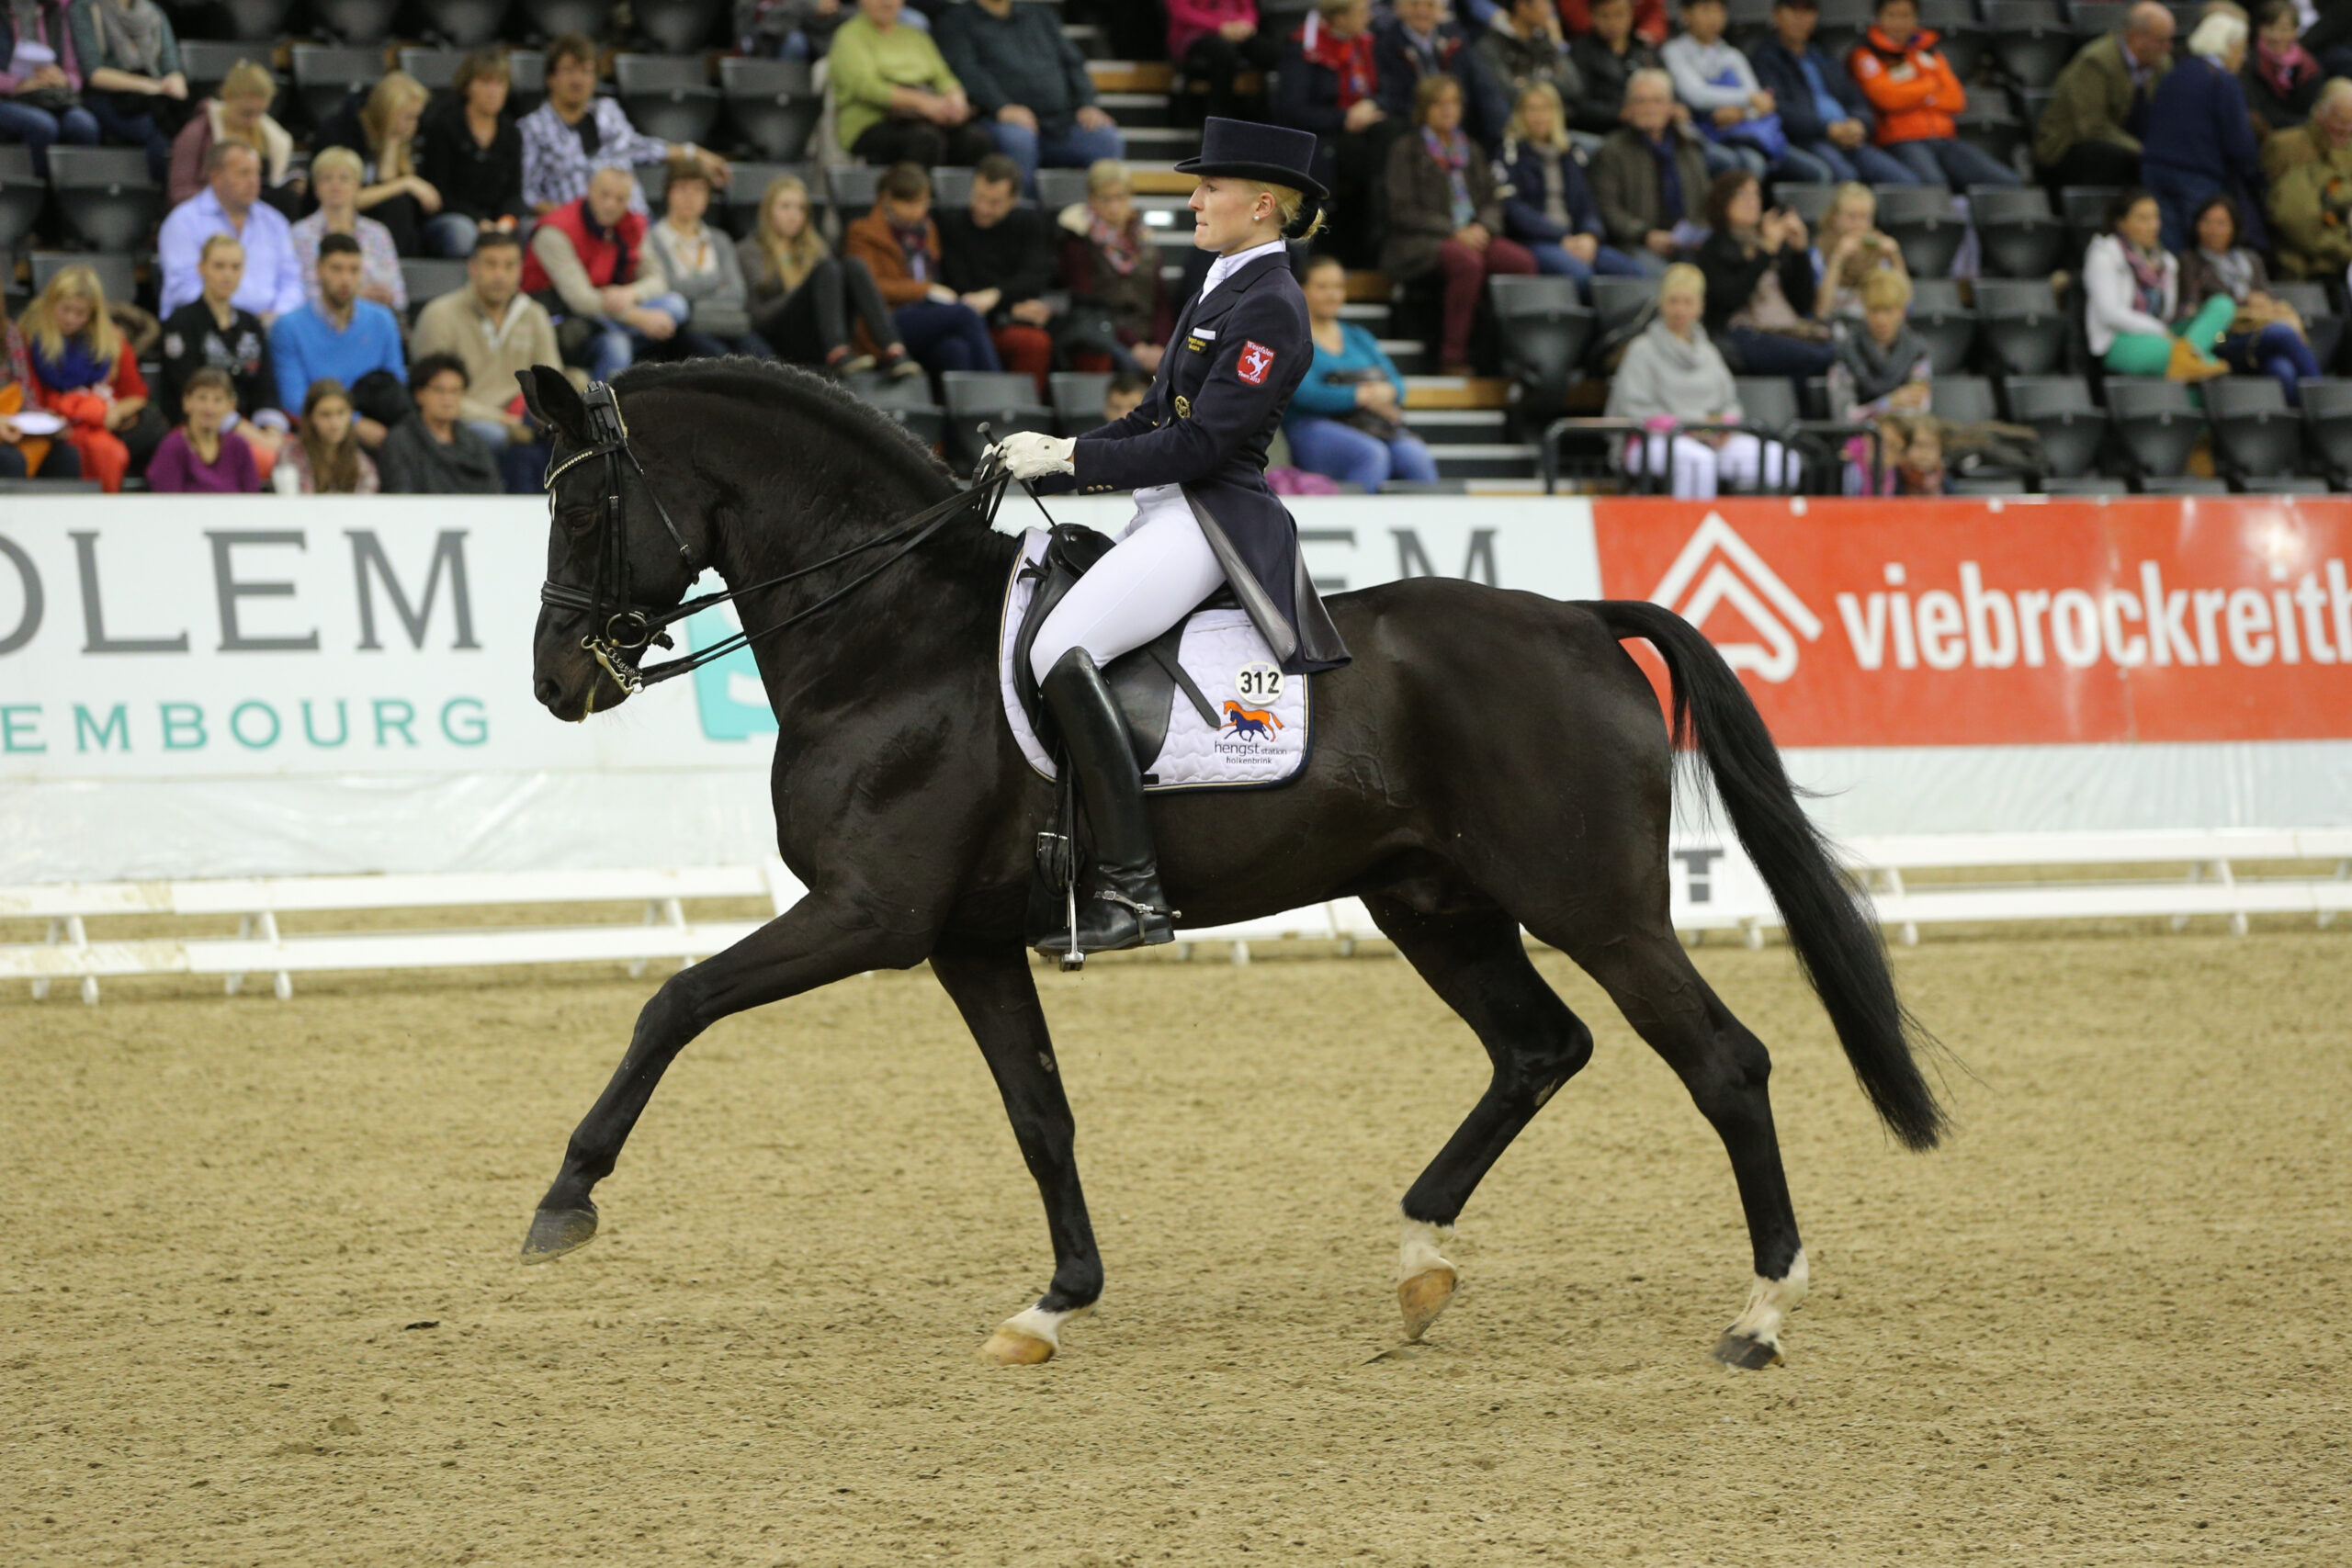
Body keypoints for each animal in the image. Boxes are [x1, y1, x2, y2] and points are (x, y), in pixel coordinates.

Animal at [515, 359, 1946, 1370]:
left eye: (582, 507)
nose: (553, 682)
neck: (892, 639)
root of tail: (1577, 621)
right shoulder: (963, 939)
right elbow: (1040, 1114)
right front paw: (1054, 1303)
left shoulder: (870, 913)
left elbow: (675, 1001)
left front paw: (565, 1199)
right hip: (1432, 901)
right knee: (1540, 1047)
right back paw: (1419, 1257)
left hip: (1592, 903)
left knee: (1723, 1063)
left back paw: (1759, 1317)